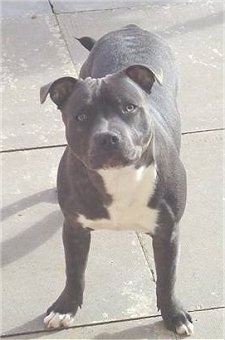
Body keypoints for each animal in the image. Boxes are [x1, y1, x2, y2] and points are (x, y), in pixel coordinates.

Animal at [40, 23, 193, 334]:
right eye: (81, 116)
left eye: (129, 108)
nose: (107, 137)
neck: (118, 176)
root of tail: (130, 28)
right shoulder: (74, 228)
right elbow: (74, 271)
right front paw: (65, 307)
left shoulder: (167, 232)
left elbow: (167, 277)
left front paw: (173, 314)